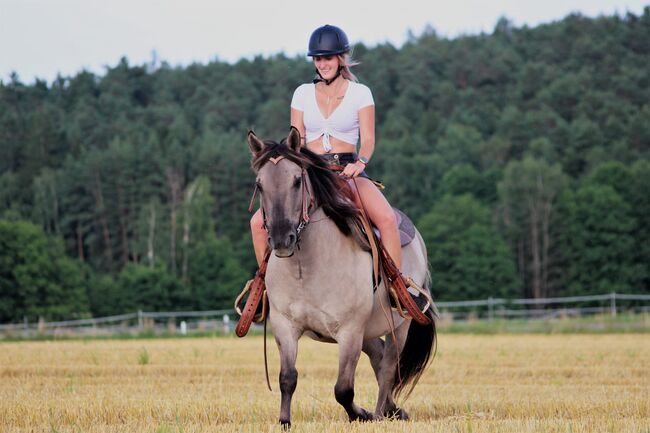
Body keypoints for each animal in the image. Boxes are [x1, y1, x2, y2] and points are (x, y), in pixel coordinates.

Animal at [247, 127, 436, 426]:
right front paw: (284, 421)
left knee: (387, 368)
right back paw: (393, 410)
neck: (305, 269)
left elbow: (343, 389)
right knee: (378, 357)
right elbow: (287, 378)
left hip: (399, 326)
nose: (281, 239)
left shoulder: (349, 331)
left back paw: (382, 412)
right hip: (369, 330)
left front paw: (364, 415)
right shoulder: (284, 326)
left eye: (297, 181)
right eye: (260, 184)